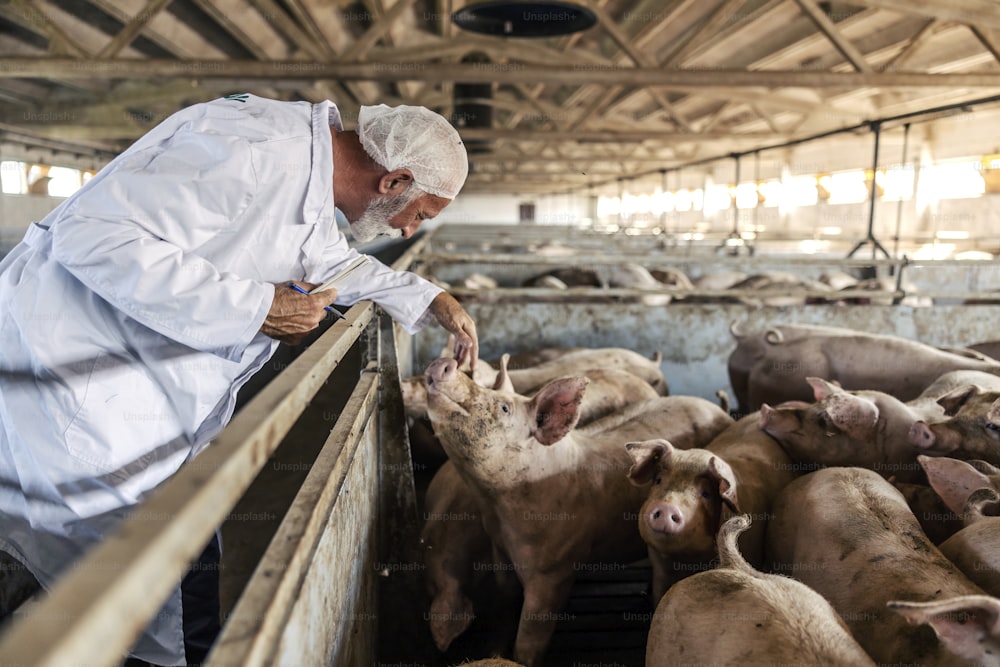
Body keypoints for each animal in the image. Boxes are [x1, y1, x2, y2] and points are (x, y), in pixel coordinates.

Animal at [420, 360, 728, 667]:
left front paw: (520, 658)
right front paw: (493, 652)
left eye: (505, 408)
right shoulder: (500, 553)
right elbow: (504, 609)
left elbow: (531, 634)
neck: (498, 508)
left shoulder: (554, 568)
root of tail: (719, 411)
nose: (443, 363)